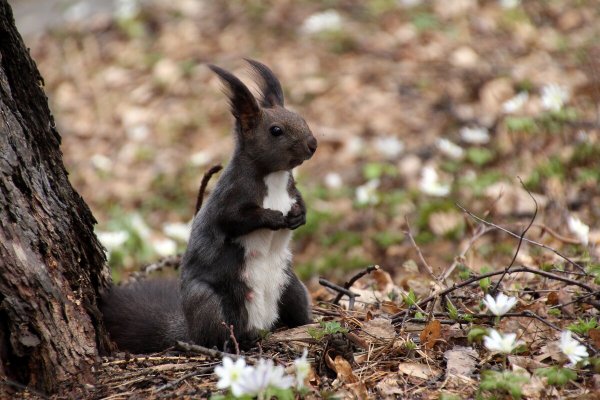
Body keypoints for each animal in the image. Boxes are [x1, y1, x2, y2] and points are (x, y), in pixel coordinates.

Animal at [102, 59, 318, 354]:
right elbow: (234, 220)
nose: (313, 144)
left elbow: (300, 200)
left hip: (292, 287)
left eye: (301, 118)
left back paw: (304, 324)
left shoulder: (291, 191)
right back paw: (235, 342)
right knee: (216, 334)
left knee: (296, 309)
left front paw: (299, 216)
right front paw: (272, 217)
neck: (273, 178)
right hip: (209, 302)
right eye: (276, 130)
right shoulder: (227, 199)